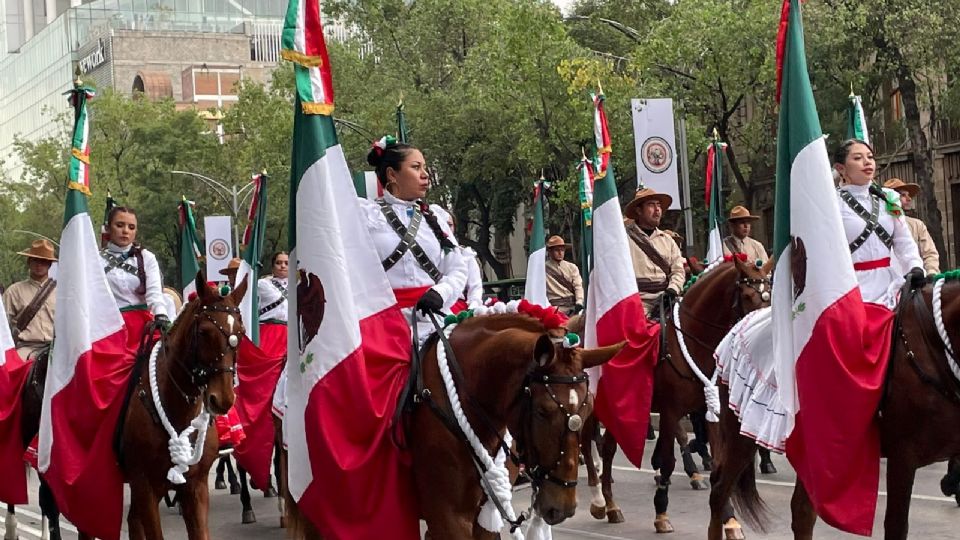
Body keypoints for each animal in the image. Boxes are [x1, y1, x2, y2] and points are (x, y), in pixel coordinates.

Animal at [576, 258, 772, 536]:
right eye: (746, 295)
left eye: (769, 293)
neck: (692, 343)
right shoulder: (670, 412)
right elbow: (668, 461)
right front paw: (661, 513)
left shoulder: (710, 411)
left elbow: (717, 466)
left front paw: (729, 519)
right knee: (588, 442)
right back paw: (599, 501)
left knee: (609, 449)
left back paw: (612, 505)